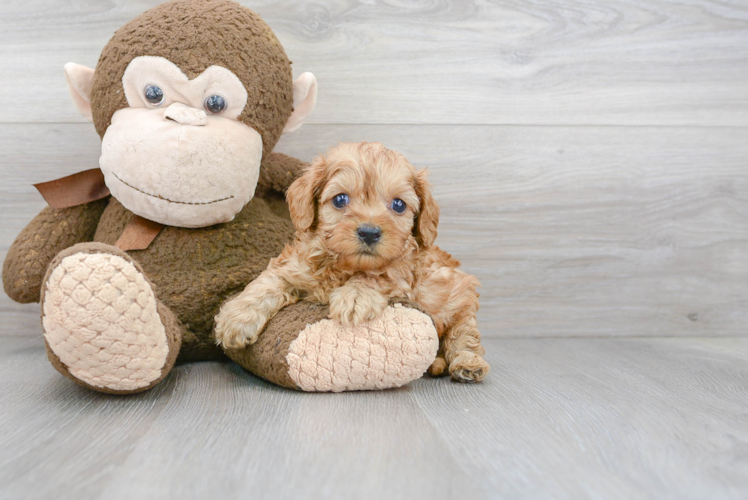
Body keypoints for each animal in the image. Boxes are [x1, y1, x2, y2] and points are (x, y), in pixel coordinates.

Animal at [213, 141, 488, 382]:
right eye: (340, 199)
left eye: (399, 205)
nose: (369, 232)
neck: (345, 266)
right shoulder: (296, 265)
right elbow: (269, 281)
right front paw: (237, 318)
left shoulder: (405, 271)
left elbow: (380, 274)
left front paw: (356, 296)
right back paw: (437, 364)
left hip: (461, 298)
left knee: (464, 336)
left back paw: (467, 364)